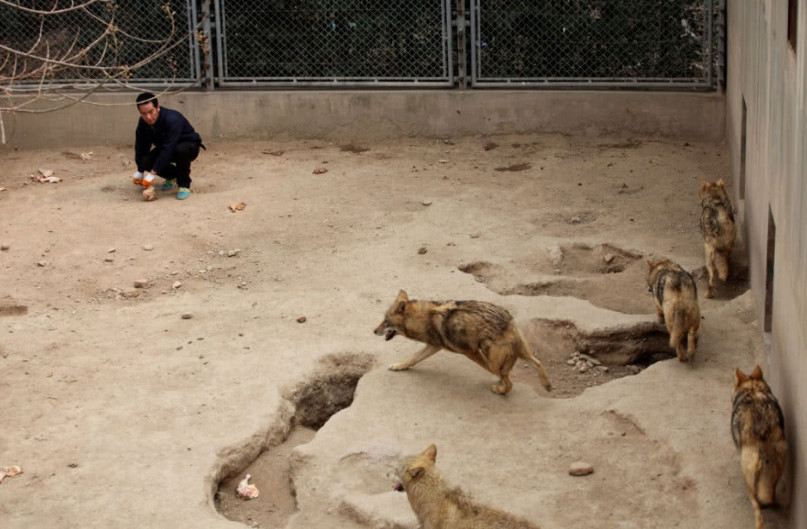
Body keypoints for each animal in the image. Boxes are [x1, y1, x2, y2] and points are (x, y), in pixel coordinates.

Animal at [376, 290, 552, 394]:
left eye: (385, 322)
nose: (374, 331)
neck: (423, 318)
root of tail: (506, 319)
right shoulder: (434, 346)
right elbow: (412, 358)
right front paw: (399, 366)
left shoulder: (470, 352)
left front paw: (500, 383)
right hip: (522, 350)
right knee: (537, 361)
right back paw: (547, 384)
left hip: (491, 357)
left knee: (508, 379)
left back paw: (500, 388)